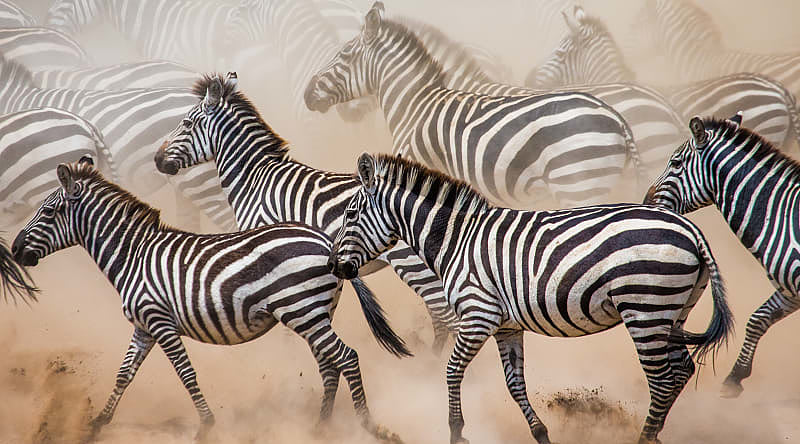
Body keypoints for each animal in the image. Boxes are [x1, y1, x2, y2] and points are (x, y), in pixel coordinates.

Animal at [11, 156, 409, 441]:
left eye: (47, 211)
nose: (14, 250)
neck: (134, 256)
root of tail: (327, 243)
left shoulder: (161, 322)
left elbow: (186, 372)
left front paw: (206, 426)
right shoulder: (143, 326)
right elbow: (124, 374)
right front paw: (95, 424)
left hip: (303, 310)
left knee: (347, 358)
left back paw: (365, 426)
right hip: (312, 313)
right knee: (329, 365)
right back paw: (320, 428)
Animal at [328, 152, 733, 444]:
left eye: (350, 214)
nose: (333, 265)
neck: (457, 239)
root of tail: (688, 226)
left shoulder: (478, 315)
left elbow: (452, 370)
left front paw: (457, 432)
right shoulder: (506, 326)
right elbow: (514, 383)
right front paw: (540, 433)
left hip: (644, 307)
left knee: (662, 379)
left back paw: (644, 439)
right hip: (672, 311)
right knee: (681, 371)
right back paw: (658, 434)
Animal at [644, 113, 800, 399]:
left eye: (675, 163)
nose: (646, 201)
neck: (781, 216)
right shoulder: (789, 287)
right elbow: (758, 319)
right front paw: (735, 378)